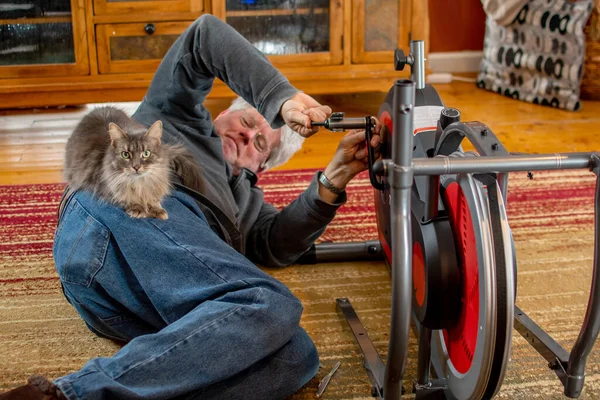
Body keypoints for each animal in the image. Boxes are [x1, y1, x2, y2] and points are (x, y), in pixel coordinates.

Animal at [64, 106, 203, 219]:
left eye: (146, 153)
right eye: (125, 154)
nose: (136, 166)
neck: (139, 183)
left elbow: (153, 198)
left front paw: (156, 209)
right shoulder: (104, 186)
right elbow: (126, 197)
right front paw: (138, 208)